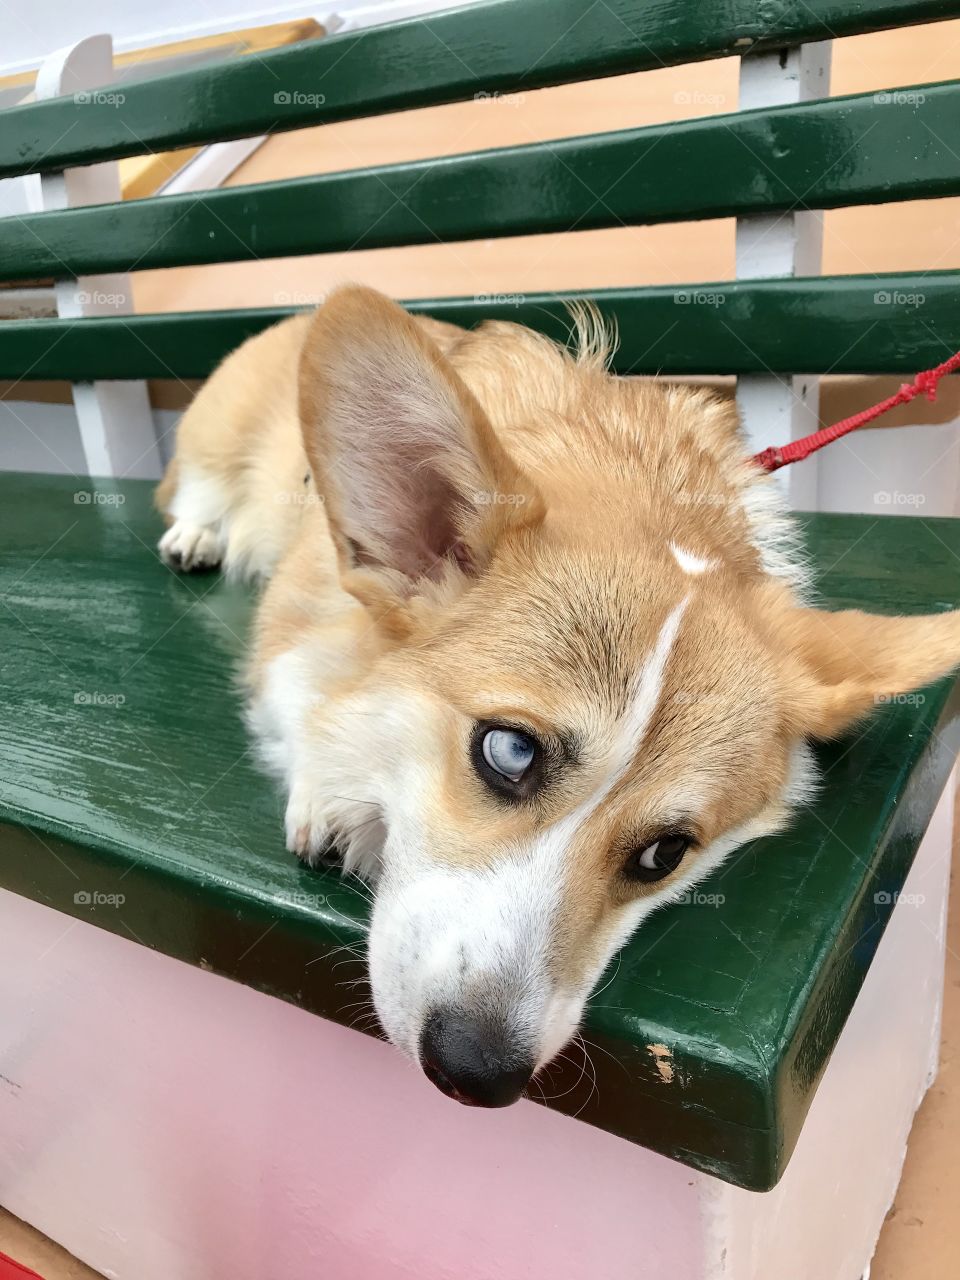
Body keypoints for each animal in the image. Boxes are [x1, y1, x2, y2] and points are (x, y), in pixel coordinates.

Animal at [158, 285, 960, 1105]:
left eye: (665, 854)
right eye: (509, 752)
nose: (477, 1075)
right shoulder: (290, 621)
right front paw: (335, 799)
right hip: (214, 445)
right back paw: (195, 535)